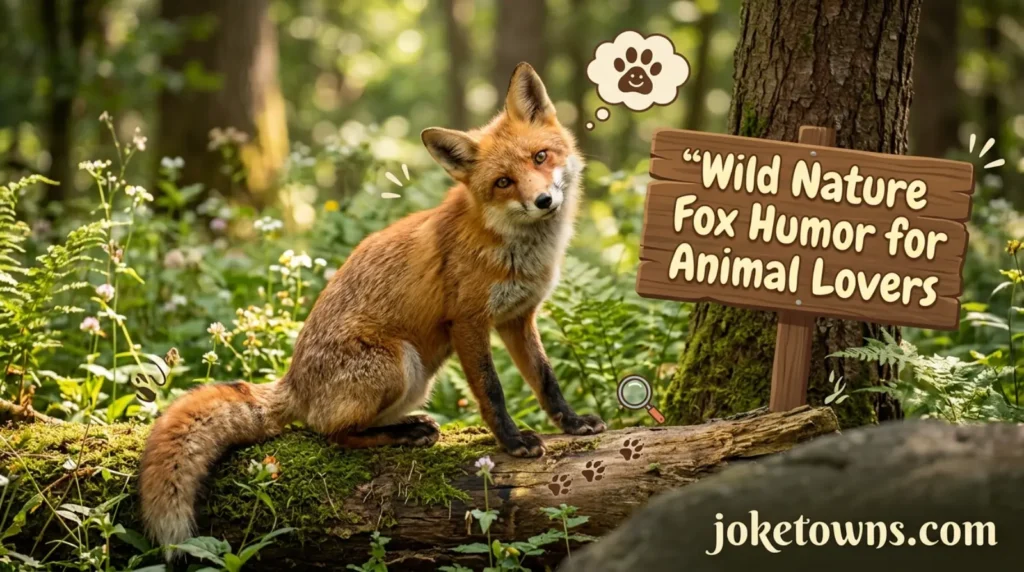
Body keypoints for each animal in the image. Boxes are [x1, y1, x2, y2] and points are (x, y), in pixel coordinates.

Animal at [138, 62, 606, 549]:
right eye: (503, 182)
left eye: (540, 157)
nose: (543, 201)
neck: (514, 248)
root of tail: (293, 382)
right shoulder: (468, 322)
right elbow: (492, 391)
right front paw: (512, 442)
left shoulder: (517, 318)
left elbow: (545, 379)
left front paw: (572, 423)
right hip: (399, 362)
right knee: (331, 434)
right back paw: (405, 433)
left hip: (417, 377)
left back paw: (407, 426)